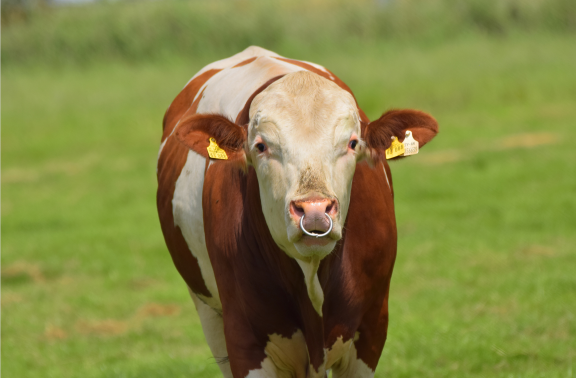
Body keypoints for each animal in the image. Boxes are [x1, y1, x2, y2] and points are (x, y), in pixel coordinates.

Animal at [156, 47, 436, 378]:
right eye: (261, 146)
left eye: (352, 143)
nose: (314, 210)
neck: (312, 276)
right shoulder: (244, 340)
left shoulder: (371, 329)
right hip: (207, 310)